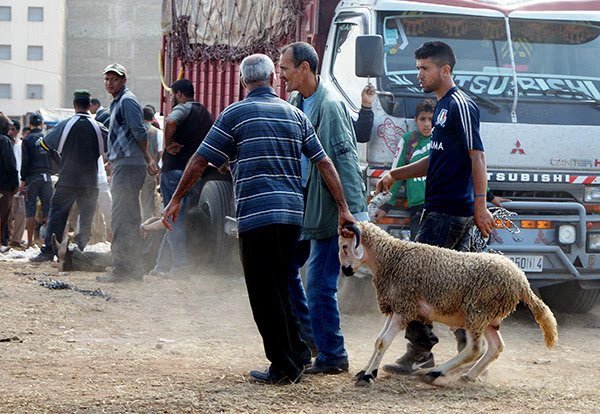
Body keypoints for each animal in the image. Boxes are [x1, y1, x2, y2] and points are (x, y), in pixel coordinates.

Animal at [338, 222, 556, 386]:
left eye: (344, 246)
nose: (346, 271)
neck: (392, 258)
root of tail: (522, 280)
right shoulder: (395, 307)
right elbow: (378, 340)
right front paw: (366, 371)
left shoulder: (404, 307)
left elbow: (383, 342)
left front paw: (368, 376)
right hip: (487, 317)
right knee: (495, 347)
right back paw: (469, 375)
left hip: (477, 311)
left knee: (475, 349)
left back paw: (435, 373)